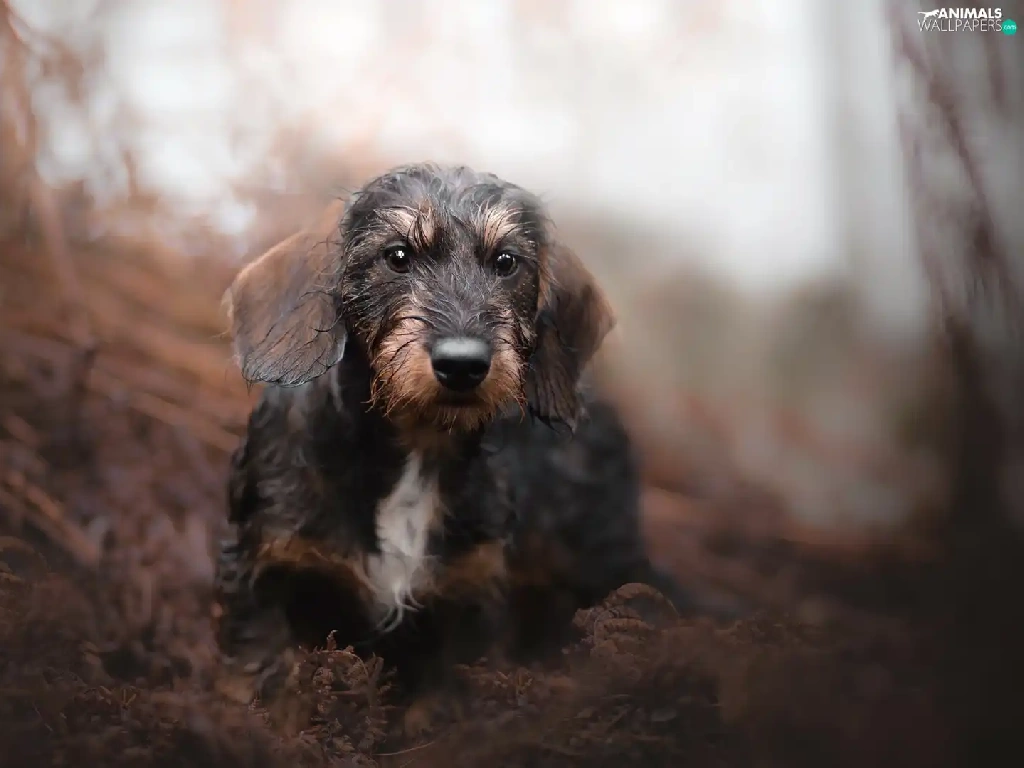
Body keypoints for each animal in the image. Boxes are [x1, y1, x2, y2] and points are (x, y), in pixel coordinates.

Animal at [212, 163, 687, 733]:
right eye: (397, 256)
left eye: (506, 262)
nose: (463, 364)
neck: (418, 448)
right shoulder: (264, 565)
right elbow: (264, 668)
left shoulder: (468, 598)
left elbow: (445, 698)